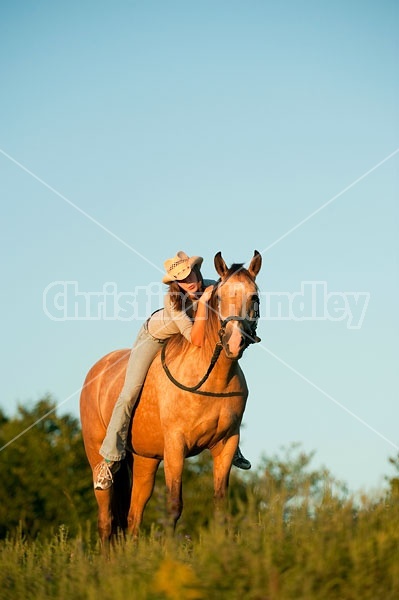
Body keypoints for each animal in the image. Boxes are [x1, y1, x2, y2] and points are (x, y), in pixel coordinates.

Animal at [80, 251, 262, 540]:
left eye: (254, 297)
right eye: (220, 297)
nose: (235, 341)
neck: (210, 377)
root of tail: (95, 371)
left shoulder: (226, 444)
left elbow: (220, 507)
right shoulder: (176, 446)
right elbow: (174, 506)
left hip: (145, 460)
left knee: (133, 518)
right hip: (96, 456)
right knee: (106, 521)